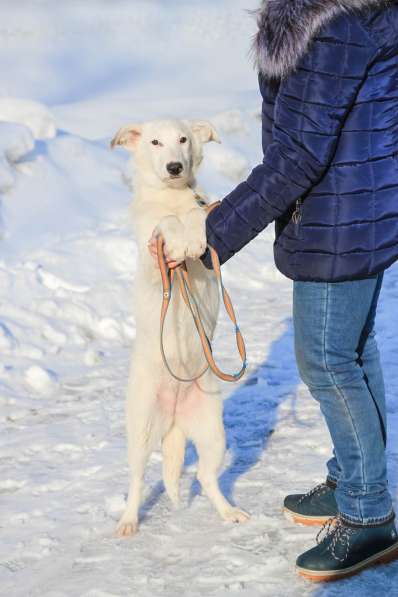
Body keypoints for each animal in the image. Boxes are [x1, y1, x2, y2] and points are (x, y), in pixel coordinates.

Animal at [111, 116, 249, 536]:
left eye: (184, 140)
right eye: (155, 142)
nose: (174, 167)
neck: (170, 196)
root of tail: (174, 416)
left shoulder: (202, 216)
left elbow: (199, 216)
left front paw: (194, 235)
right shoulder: (152, 255)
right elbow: (168, 224)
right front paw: (178, 234)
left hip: (213, 432)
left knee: (206, 477)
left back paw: (229, 512)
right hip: (141, 429)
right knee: (137, 479)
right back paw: (128, 521)